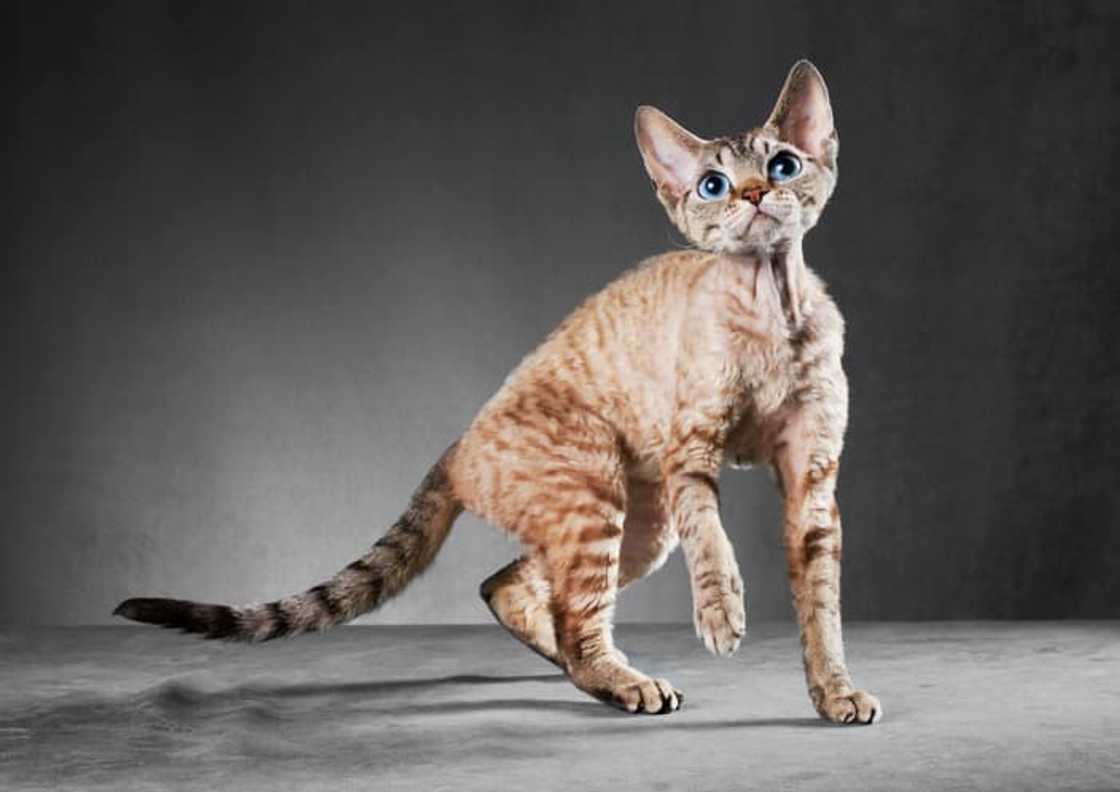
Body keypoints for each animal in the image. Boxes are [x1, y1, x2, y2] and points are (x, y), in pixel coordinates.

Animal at [115, 61, 882, 725]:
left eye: (783, 165)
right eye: (713, 184)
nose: (752, 194)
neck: (771, 310)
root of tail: (459, 443)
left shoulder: (812, 480)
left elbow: (821, 603)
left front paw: (836, 693)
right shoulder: (691, 454)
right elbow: (714, 539)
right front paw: (722, 615)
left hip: (634, 521)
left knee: (516, 590)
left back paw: (590, 671)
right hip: (600, 491)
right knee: (570, 613)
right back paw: (626, 682)